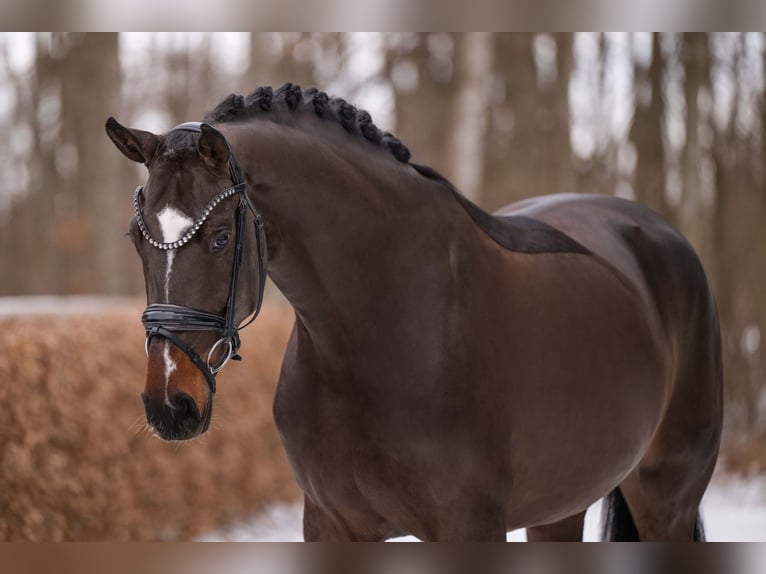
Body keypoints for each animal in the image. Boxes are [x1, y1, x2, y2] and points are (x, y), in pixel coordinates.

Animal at [105, 83, 722, 542]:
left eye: (220, 238)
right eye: (136, 238)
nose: (170, 405)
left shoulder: (469, 528)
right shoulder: (330, 524)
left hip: (666, 496)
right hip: (561, 506)